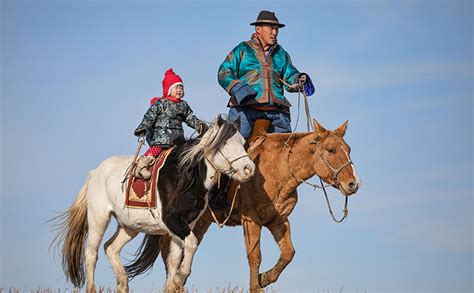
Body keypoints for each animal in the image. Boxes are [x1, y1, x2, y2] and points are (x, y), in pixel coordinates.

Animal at [51, 115, 256, 290]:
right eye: (225, 143)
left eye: (243, 143)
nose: (249, 169)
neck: (184, 177)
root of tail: (95, 172)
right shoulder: (172, 221)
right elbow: (191, 244)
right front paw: (180, 277)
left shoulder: (185, 225)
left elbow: (175, 258)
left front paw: (175, 281)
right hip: (98, 218)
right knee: (91, 254)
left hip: (129, 226)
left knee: (110, 248)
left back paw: (123, 284)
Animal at [125, 118, 360, 290]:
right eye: (331, 150)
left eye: (348, 148)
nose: (353, 184)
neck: (278, 168)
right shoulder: (251, 221)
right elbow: (255, 257)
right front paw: (258, 285)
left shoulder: (278, 221)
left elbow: (288, 253)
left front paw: (265, 278)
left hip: (198, 224)